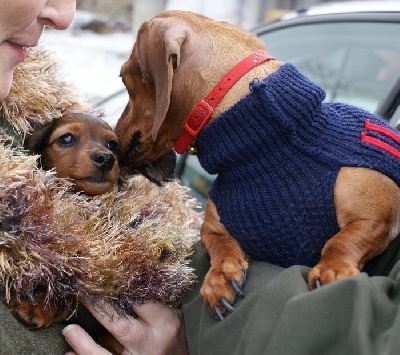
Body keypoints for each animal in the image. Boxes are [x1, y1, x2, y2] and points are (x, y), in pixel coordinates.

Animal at [113, 10, 400, 320]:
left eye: (124, 78)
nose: (113, 139)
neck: (265, 151)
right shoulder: (212, 229)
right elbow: (220, 245)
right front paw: (220, 277)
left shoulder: (375, 219)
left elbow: (341, 240)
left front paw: (332, 268)